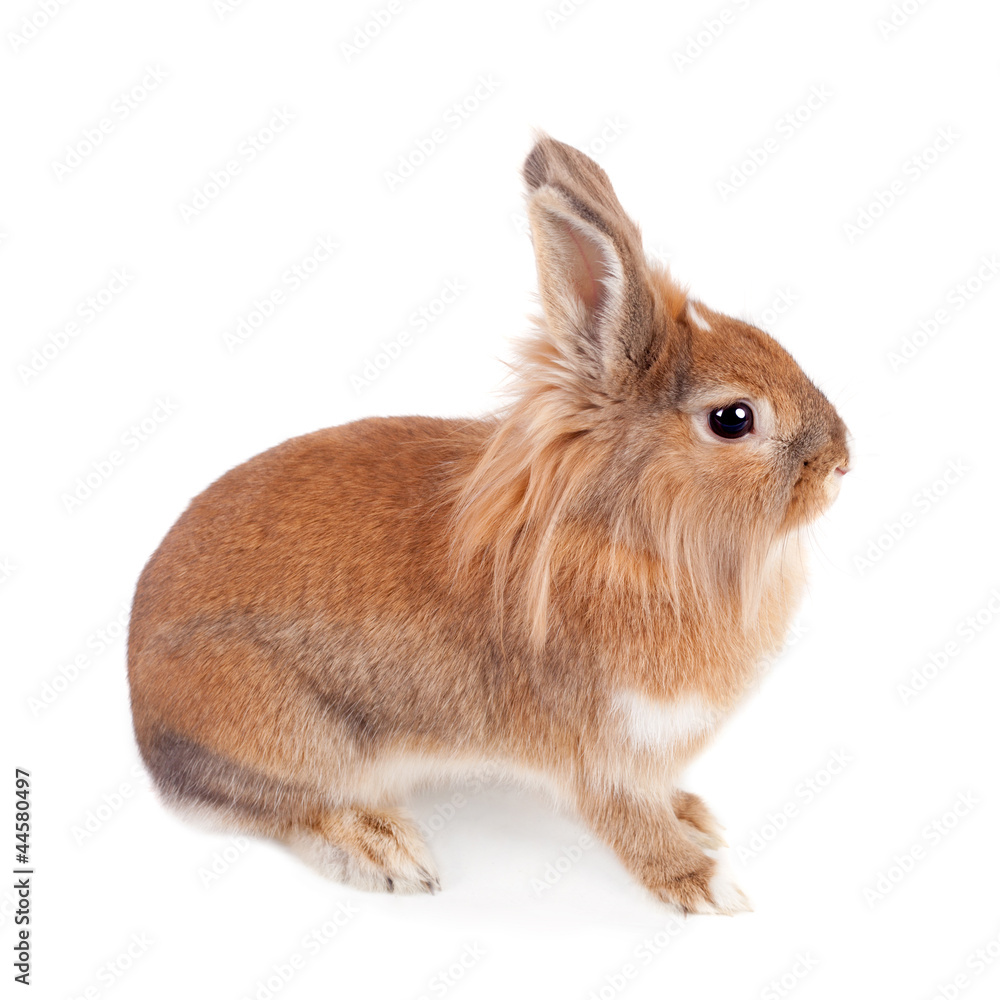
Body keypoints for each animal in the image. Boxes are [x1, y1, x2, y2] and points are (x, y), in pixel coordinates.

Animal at [127, 133, 850, 914]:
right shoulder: (602, 751)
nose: (842, 461)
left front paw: (694, 814)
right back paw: (387, 851)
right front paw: (705, 884)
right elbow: (630, 822)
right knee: (285, 806)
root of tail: (139, 704)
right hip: (293, 731)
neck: (633, 541)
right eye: (733, 418)